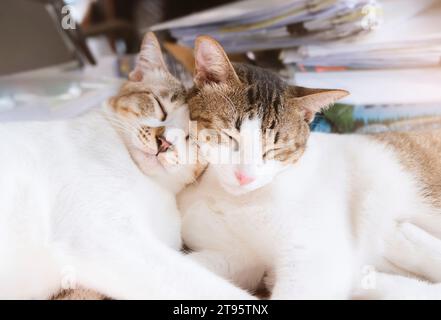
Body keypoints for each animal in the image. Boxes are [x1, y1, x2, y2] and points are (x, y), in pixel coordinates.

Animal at [0, 32, 253, 300]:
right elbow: (207, 286)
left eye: (194, 134)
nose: (164, 142)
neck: (154, 187)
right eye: (159, 106)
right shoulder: (112, 238)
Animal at [177, 35, 440, 300]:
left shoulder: (314, 260)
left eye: (275, 149)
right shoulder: (240, 257)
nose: (244, 177)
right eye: (229, 136)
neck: (225, 196)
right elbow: (194, 268)